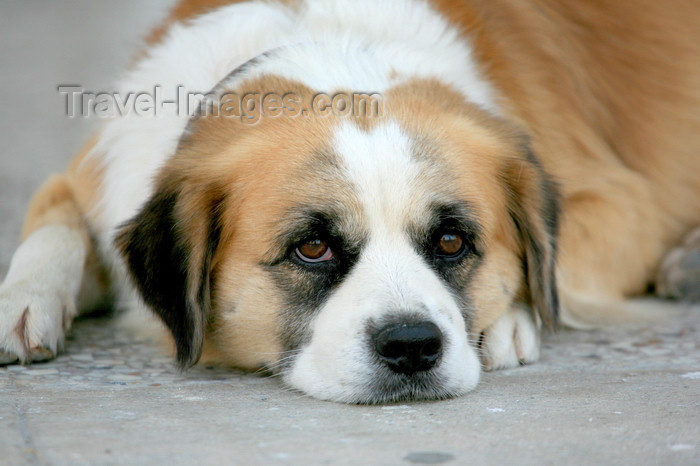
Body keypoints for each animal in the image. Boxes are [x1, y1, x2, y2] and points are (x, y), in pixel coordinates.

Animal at [1, 0, 700, 402]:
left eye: (452, 241)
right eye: (313, 248)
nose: (413, 346)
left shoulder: (621, 202)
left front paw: (506, 321)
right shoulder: (94, 174)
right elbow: (52, 224)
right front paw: (22, 301)